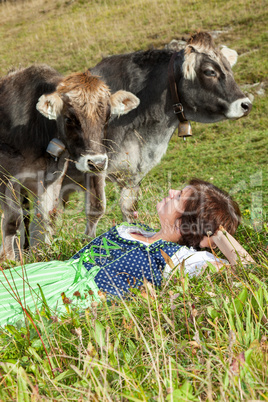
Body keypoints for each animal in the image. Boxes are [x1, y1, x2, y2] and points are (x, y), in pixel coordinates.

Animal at [0, 65, 138, 260]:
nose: (96, 162)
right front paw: (9, 260)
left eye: (107, 117)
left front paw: (42, 254)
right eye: (69, 119)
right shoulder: (6, 177)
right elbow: (12, 220)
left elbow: (46, 216)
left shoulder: (52, 177)